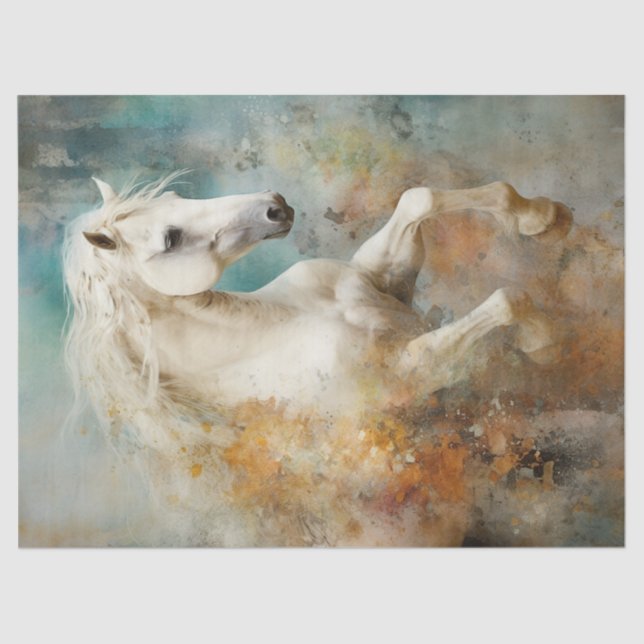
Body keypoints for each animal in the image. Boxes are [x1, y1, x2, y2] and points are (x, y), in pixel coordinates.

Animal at [62, 174, 572, 544]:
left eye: (174, 195)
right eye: (170, 239)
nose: (274, 204)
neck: (273, 325)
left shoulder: (388, 283)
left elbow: (418, 199)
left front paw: (542, 217)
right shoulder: (413, 368)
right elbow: (506, 300)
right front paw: (544, 341)